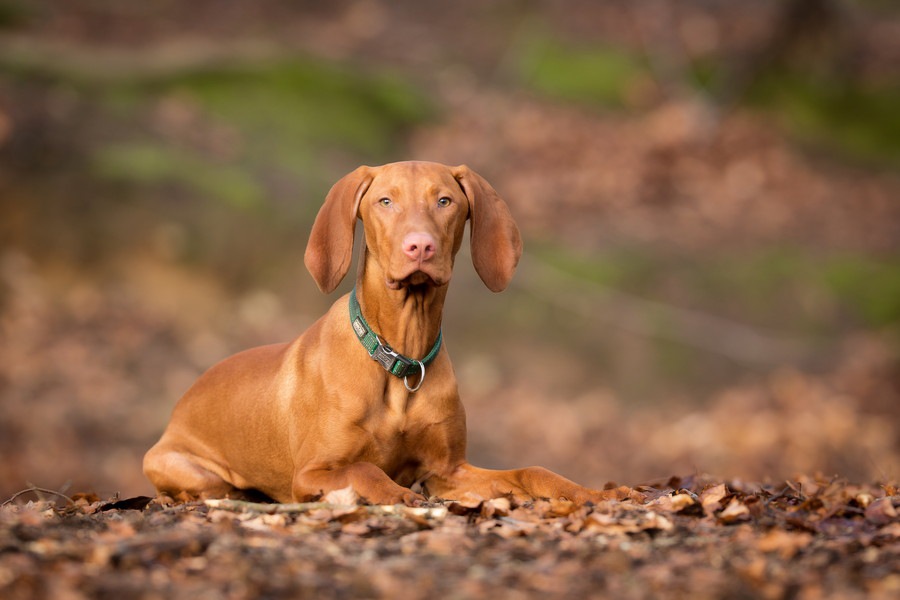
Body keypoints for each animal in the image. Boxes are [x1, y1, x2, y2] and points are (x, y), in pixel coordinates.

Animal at [144, 161, 608, 506]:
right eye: (385, 201)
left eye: (445, 201)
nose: (419, 247)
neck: (401, 358)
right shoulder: (311, 472)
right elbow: (365, 468)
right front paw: (397, 494)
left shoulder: (449, 471)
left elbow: (532, 469)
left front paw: (586, 492)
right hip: (182, 467)